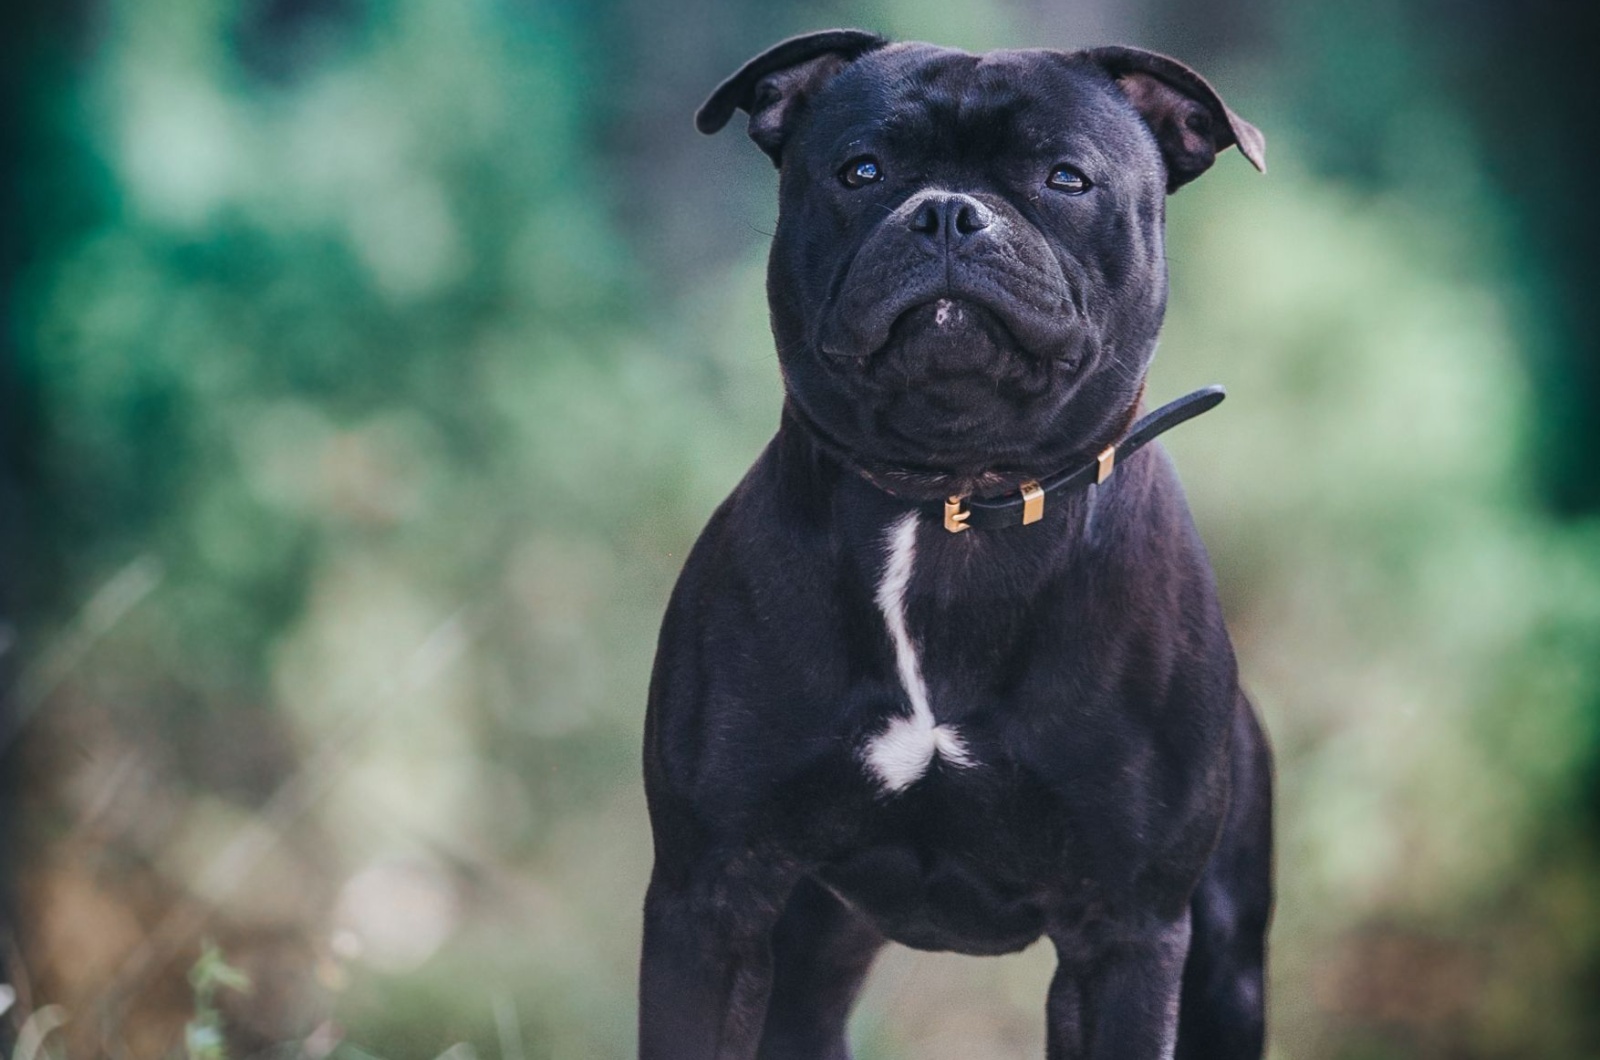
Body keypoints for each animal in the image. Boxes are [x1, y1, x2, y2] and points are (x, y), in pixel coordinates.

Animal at [636, 29, 1273, 1056]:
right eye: (861, 170)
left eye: (1065, 177)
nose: (945, 213)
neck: (952, 502)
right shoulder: (710, 899)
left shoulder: (1128, 934)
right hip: (806, 950)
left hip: (1225, 966)